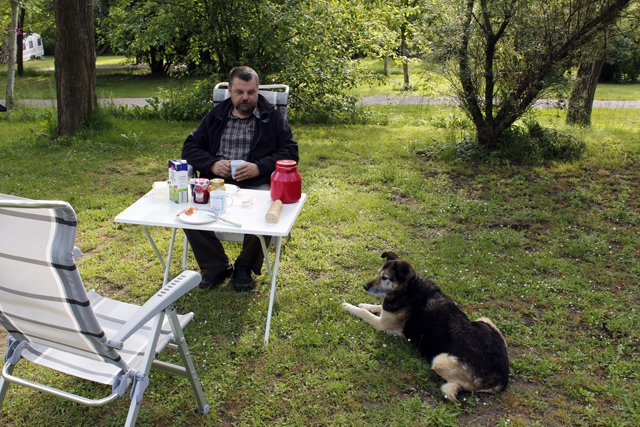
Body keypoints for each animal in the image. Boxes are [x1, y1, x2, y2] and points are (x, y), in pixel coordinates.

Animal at [342, 252, 508, 402]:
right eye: (378, 274)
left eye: (385, 278)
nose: (365, 286)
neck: (408, 289)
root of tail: (502, 380)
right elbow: (376, 306)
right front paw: (365, 304)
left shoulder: (382, 324)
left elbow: (365, 312)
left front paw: (348, 307)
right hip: (484, 319)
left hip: (440, 360)